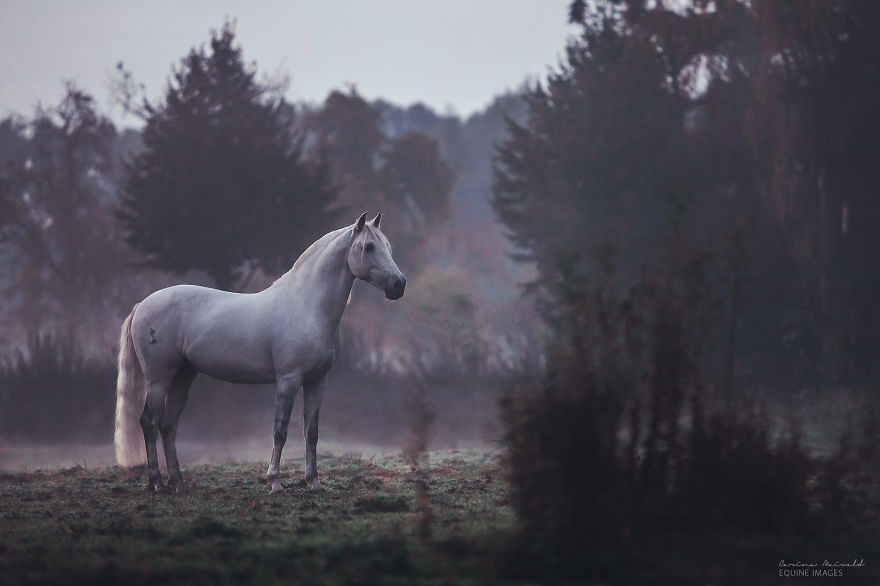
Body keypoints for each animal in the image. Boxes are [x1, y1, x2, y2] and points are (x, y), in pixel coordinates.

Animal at [113, 212, 406, 493]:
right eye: (369, 247)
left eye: (388, 246)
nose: (398, 285)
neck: (307, 306)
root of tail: (142, 305)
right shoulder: (288, 380)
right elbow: (280, 431)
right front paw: (275, 483)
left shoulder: (317, 381)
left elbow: (311, 432)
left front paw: (314, 482)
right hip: (159, 378)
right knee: (149, 422)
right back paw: (157, 483)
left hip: (183, 376)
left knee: (168, 425)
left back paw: (178, 482)